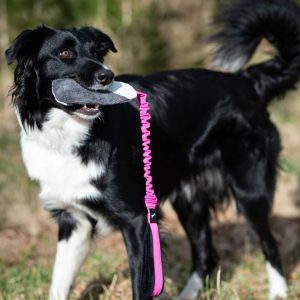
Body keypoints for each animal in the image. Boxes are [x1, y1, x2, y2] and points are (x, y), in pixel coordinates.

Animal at [5, 0, 300, 298]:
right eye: (64, 53)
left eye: (98, 54)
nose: (107, 75)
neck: (72, 134)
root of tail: (247, 80)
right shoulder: (73, 220)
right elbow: (59, 283)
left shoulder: (138, 220)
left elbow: (141, 285)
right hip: (189, 198)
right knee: (206, 254)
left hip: (249, 189)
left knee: (269, 243)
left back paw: (278, 291)